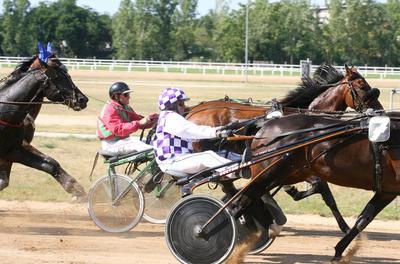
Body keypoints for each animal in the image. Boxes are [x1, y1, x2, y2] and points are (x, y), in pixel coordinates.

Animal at [0, 55, 88, 200]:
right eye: (58, 77)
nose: (82, 99)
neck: (5, 111)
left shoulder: (13, 151)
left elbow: (50, 164)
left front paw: (78, 191)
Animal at [186, 64, 382, 233]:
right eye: (362, 87)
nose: (380, 111)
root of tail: (193, 111)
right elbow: (323, 190)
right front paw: (345, 227)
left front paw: (292, 191)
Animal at [248, 112, 398, 262]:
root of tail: (265, 126)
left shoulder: (388, 191)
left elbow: (364, 217)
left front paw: (340, 249)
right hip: (271, 171)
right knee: (256, 191)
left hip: (292, 172)